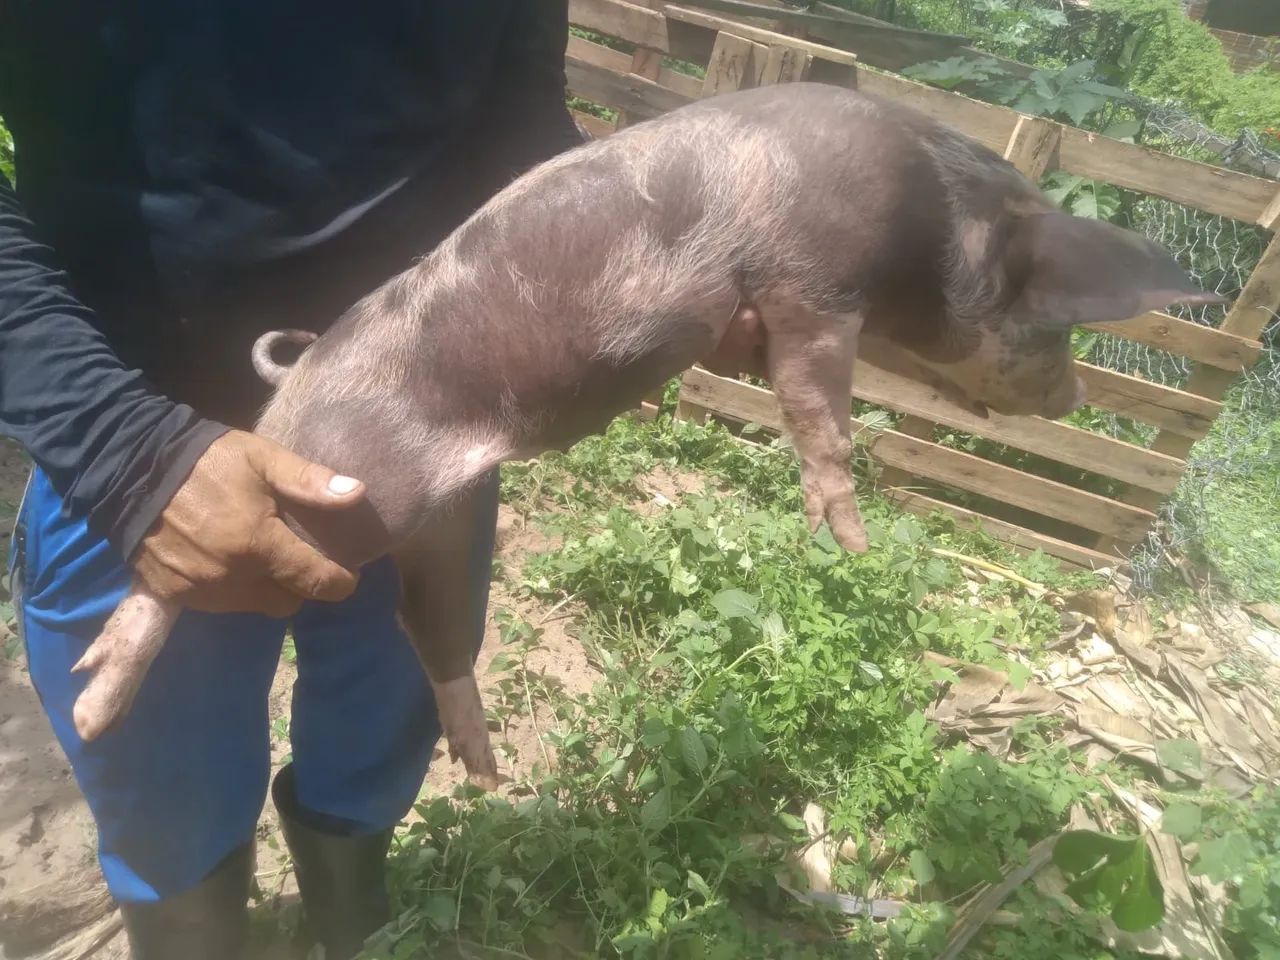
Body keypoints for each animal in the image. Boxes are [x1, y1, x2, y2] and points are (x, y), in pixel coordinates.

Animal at [68, 82, 1221, 788]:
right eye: (1059, 327)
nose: (1076, 395)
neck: (928, 218)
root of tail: (292, 392)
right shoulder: (810, 287)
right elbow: (819, 413)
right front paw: (847, 545)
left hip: (439, 526)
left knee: (430, 637)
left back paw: (486, 772)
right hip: (336, 502)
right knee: (172, 581)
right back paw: (90, 710)